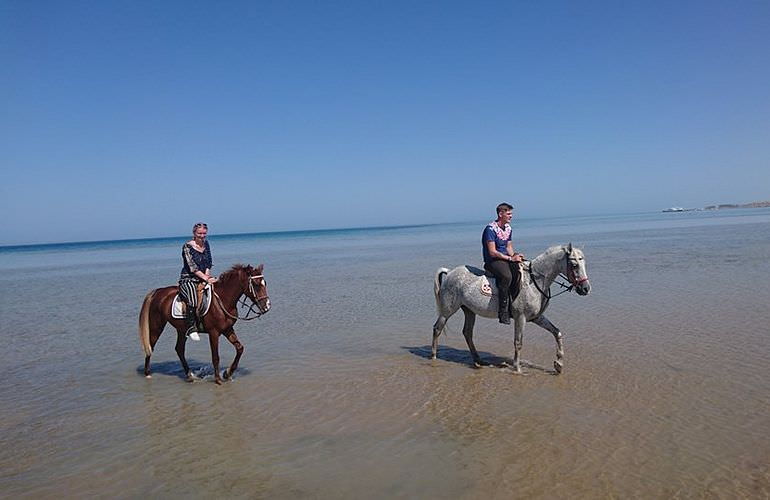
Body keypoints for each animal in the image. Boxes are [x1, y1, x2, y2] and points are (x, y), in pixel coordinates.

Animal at [138, 264, 270, 384]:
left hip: (182, 329)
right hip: (157, 326)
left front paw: (228, 373)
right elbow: (215, 356)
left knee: (179, 349)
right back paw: (147, 373)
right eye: (256, 284)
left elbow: (240, 348)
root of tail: (158, 292)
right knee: (151, 346)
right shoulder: (214, 333)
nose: (267, 306)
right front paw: (218, 379)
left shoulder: (228, 329)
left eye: (265, 283)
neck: (223, 299)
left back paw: (189, 375)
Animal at [432, 244, 588, 374]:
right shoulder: (521, 317)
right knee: (437, 328)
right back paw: (433, 357)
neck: (533, 281)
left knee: (467, 333)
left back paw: (478, 360)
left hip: (469, 311)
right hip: (448, 310)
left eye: (583, 263)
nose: (586, 288)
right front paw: (517, 369)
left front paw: (558, 364)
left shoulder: (537, 317)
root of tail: (450, 272)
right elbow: (518, 342)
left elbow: (557, 332)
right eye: (574, 265)